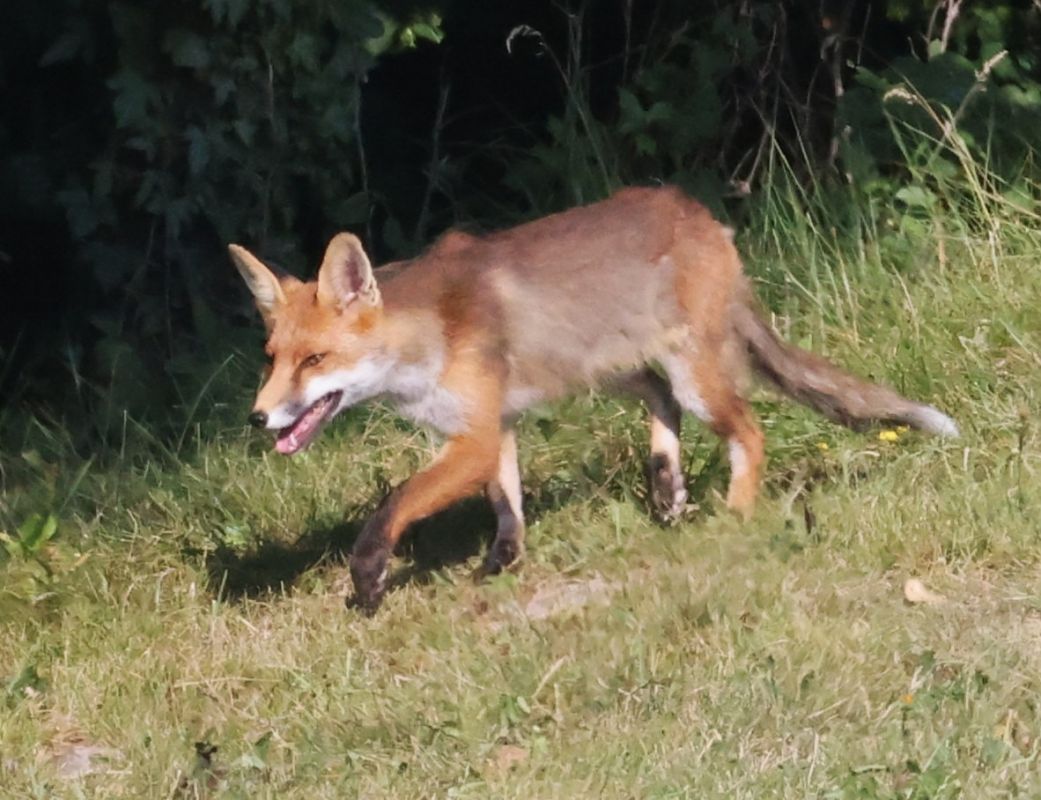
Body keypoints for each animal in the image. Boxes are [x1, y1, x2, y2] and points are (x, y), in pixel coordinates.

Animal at [229, 186, 958, 612]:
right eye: (271, 359)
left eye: (315, 361)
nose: (259, 416)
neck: (428, 336)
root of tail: (699, 213)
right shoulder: (493, 423)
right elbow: (507, 505)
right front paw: (502, 565)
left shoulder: (473, 436)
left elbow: (394, 506)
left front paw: (369, 575)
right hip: (614, 369)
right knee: (662, 402)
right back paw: (666, 487)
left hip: (694, 376)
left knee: (748, 432)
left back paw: (732, 514)